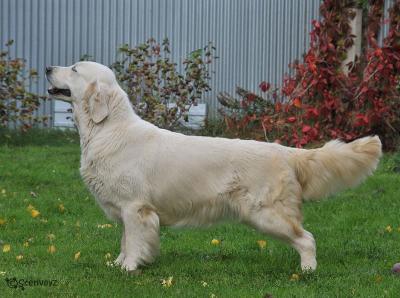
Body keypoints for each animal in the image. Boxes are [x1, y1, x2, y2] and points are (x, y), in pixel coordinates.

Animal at [45, 61, 382, 272]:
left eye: (74, 68)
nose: (47, 68)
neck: (107, 129)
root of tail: (284, 151)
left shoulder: (135, 207)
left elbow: (135, 242)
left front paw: (129, 269)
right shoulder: (128, 210)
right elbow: (125, 240)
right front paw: (117, 265)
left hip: (267, 214)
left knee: (307, 238)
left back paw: (308, 271)